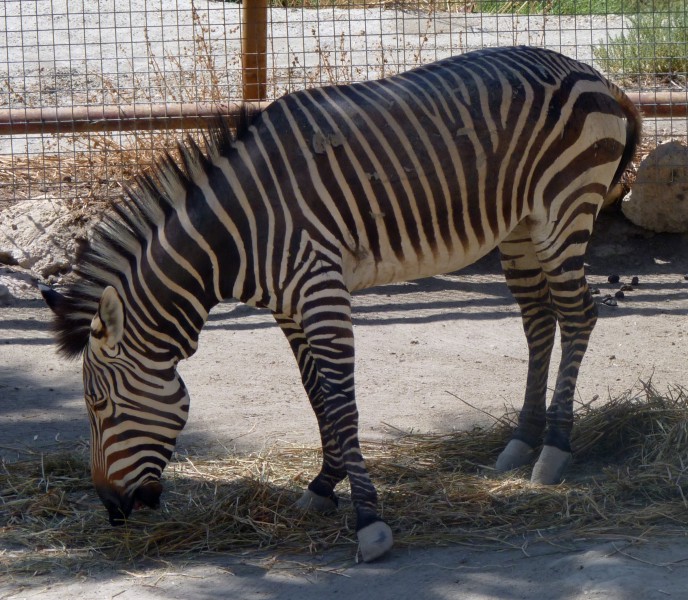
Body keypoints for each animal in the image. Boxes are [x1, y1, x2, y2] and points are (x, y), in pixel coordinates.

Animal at [41, 45, 641, 562]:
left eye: (99, 407)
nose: (111, 509)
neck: (237, 235)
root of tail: (593, 73)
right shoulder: (288, 306)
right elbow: (317, 397)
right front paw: (324, 486)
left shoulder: (321, 288)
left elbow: (342, 401)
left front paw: (369, 521)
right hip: (519, 228)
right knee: (539, 322)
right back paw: (521, 441)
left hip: (564, 210)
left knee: (578, 317)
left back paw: (555, 448)